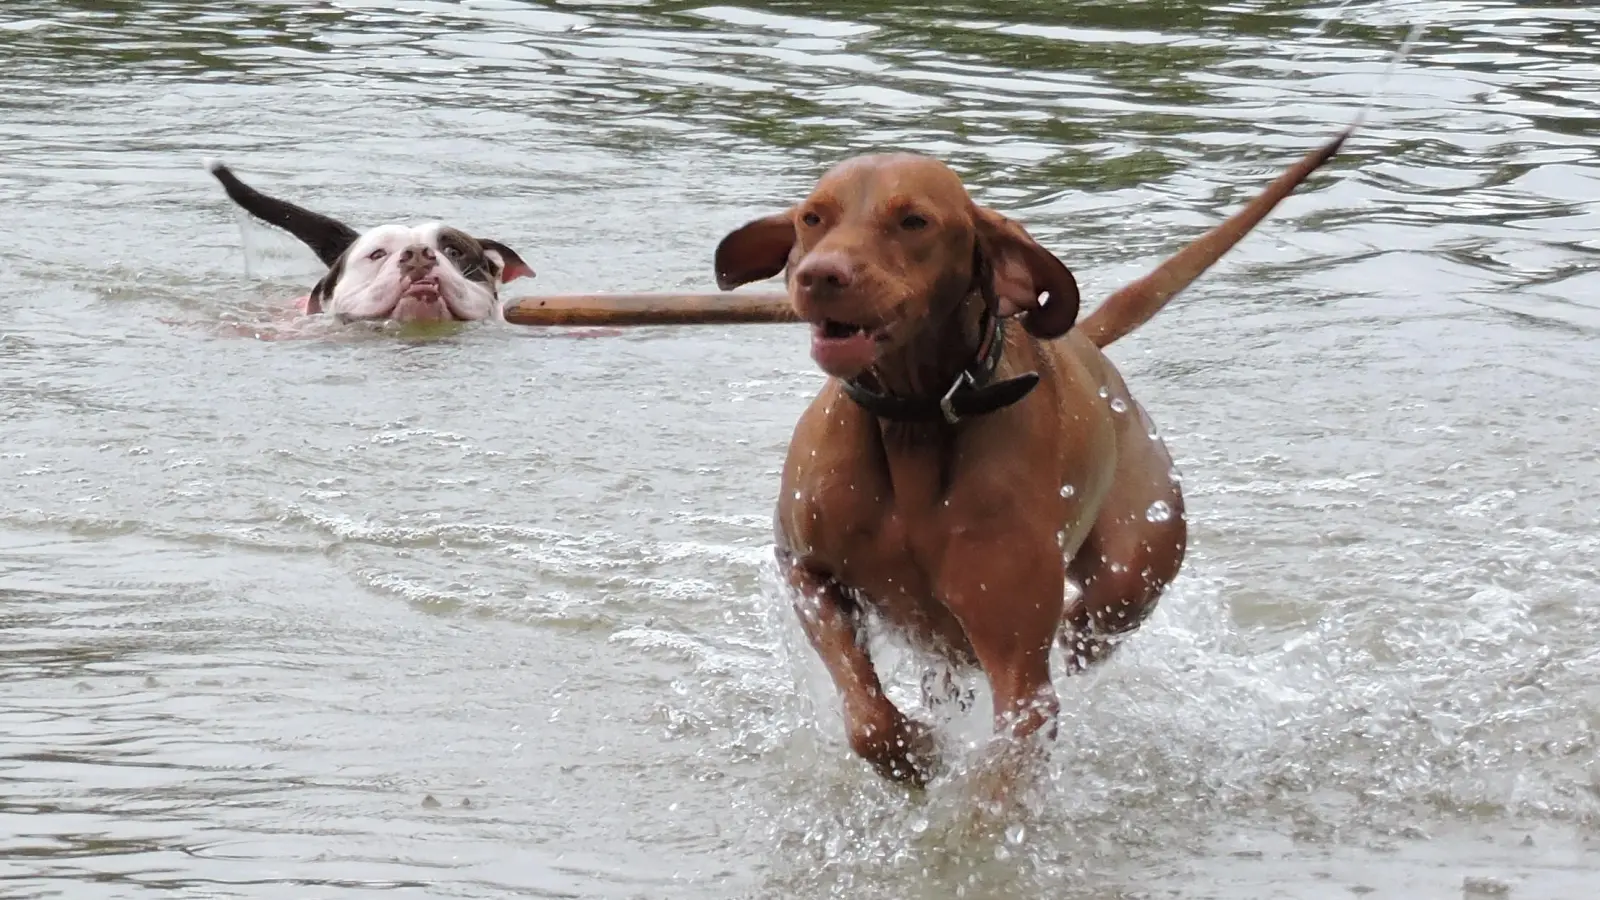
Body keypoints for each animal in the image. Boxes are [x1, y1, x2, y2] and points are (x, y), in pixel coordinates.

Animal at [716, 129, 1350, 781]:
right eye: (812, 218)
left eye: (914, 221)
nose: (819, 275)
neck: (915, 419)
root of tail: (1087, 341)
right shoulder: (805, 569)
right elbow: (865, 712)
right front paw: (911, 753)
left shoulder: (1020, 672)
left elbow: (1000, 775)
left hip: (1135, 558)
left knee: (1095, 617)